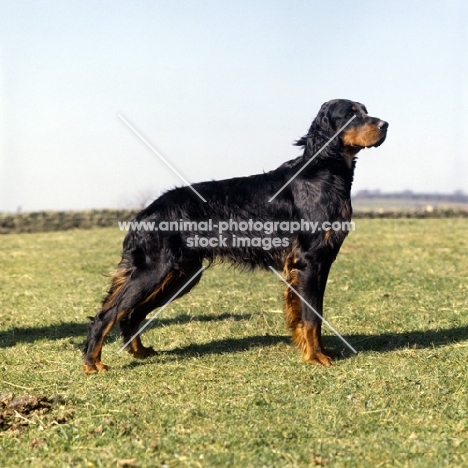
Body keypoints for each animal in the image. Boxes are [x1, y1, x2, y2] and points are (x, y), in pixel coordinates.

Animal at [83, 98, 388, 372]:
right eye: (351, 114)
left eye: (366, 111)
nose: (385, 124)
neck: (322, 172)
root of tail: (146, 212)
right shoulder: (310, 261)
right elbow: (311, 316)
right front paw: (315, 357)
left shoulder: (319, 263)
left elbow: (312, 313)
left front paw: (317, 351)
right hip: (156, 269)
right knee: (107, 314)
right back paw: (92, 363)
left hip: (179, 275)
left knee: (130, 314)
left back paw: (139, 351)